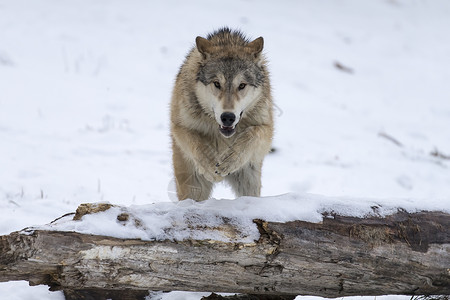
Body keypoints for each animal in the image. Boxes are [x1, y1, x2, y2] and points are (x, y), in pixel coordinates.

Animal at [170, 28, 272, 200]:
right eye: (217, 83)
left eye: (242, 85)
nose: (228, 117)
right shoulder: (180, 127)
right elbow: (196, 144)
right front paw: (211, 167)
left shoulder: (266, 129)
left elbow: (253, 133)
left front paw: (230, 160)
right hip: (193, 187)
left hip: (249, 182)